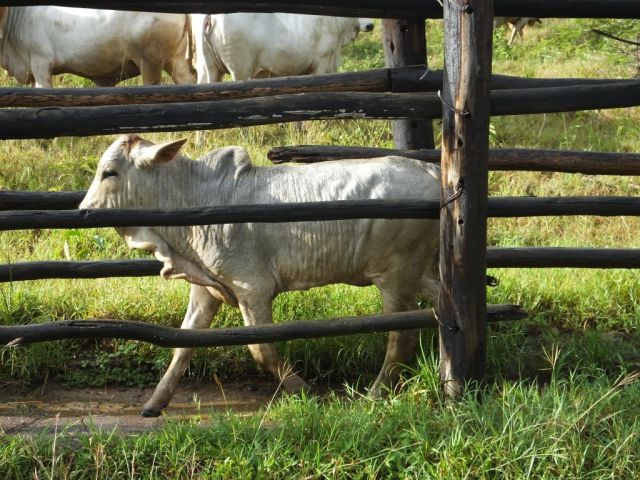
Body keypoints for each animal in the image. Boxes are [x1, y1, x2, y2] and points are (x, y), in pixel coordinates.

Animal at [79, 134, 441, 417]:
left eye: (109, 172)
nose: (84, 210)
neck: (193, 197)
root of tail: (432, 171)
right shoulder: (207, 289)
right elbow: (183, 344)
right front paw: (154, 403)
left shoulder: (252, 289)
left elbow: (260, 348)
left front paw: (305, 391)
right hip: (421, 273)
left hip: (396, 276)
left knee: (402, 336)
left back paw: (376, 393)